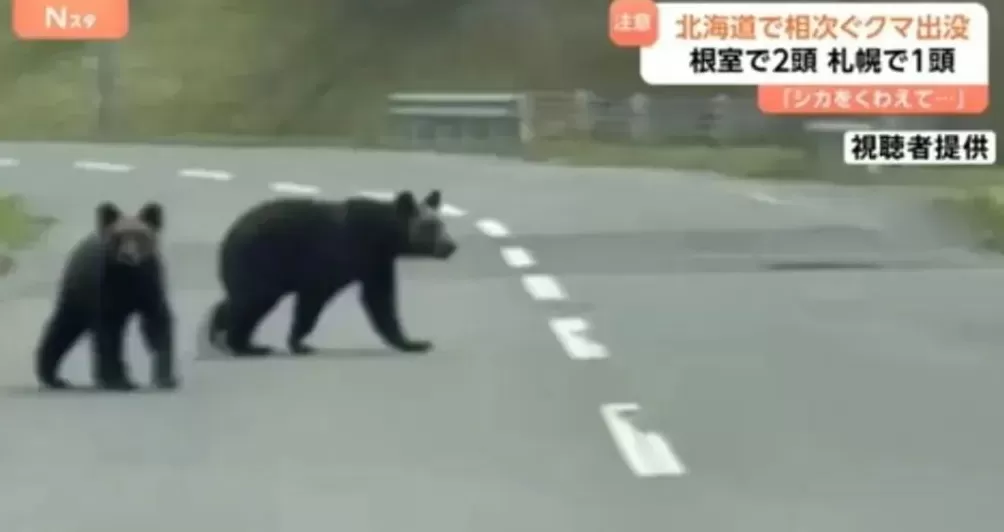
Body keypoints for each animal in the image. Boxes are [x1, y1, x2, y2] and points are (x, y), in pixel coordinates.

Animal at [34, 201, 177, 391]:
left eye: (140, 236)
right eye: (118, 236)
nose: (127, 255)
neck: (129, 277)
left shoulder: (150, 288)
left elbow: (157, 325)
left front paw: (166, 378)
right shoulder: (107, 291)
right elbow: (109, 334)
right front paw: (118, 380)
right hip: (77, 292)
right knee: (63, 326)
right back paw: (53, 377)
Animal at [207, 189, 457, 356]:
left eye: (442, 224)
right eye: (431, 227)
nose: (451, 246)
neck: (383, 235)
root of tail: (227, 238)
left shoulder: (377, 261)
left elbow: (379, 296)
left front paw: (414, 342)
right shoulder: (347, 254)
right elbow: (367, 299)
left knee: (245, 301)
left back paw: (231, 336)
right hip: (258, 260)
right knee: (252, 301)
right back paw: (240, 344)